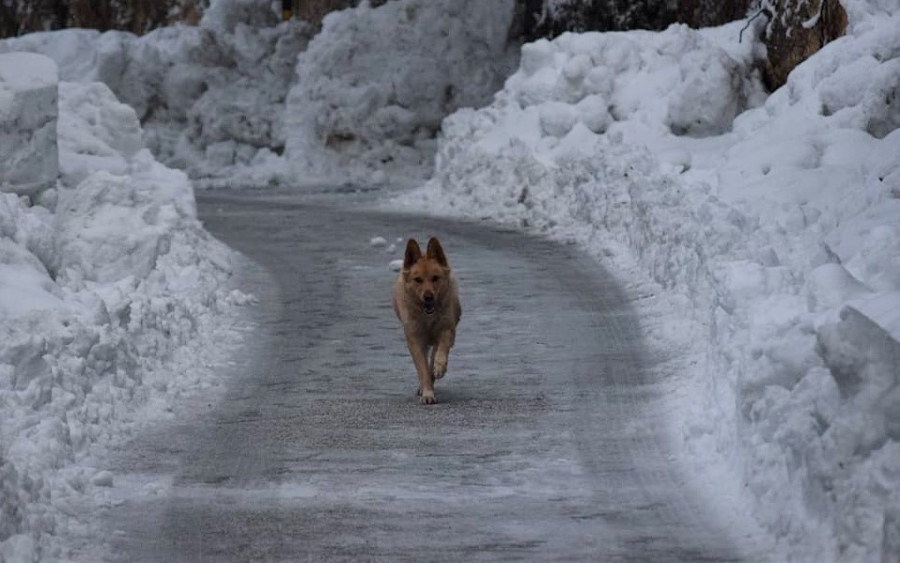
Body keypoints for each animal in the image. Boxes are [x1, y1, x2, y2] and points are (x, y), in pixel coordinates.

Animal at [394, 238, 464, 406]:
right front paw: (427, 393)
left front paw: (439, 368)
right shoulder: (415, 340)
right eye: (418, 280)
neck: (427, 319)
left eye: (435, 278)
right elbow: (422, 368)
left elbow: (439, 353)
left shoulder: (446, 330)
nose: (428, 297)